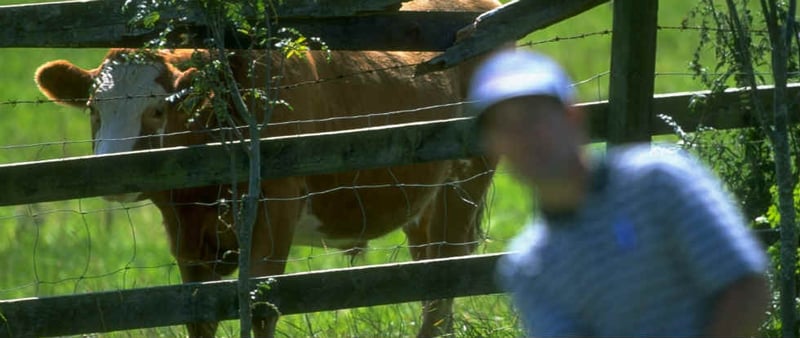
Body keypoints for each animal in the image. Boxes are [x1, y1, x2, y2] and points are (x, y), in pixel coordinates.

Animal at [36, 0, 500, 336]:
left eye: (157, 110)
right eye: (93, 108)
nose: (111, 168)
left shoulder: (276, 211)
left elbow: (260, 308)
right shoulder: (184, 234)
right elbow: (197, 313)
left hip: (466, 185)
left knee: (445, 277)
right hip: (424, 199)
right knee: (427, 273)